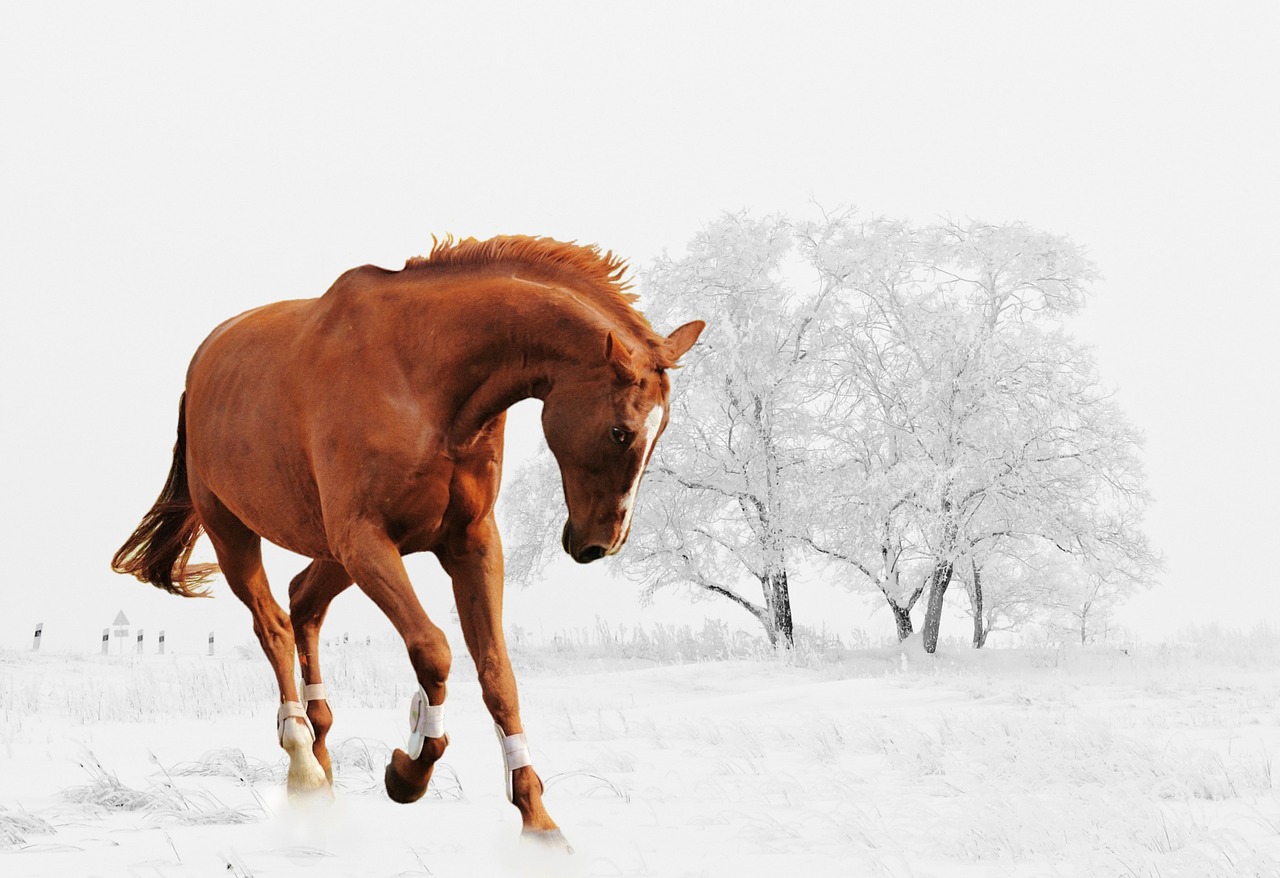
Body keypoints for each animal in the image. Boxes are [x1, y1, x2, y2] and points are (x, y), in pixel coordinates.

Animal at [111, 236, 706, 849]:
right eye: (621, 431)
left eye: (660, 430)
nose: (600, 544)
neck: (423, 378)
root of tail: (201, 367)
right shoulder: (366, 540)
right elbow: (434, 650)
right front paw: (408, 770)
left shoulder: (469, 544)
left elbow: (498, 673)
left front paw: (536, 819)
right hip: (236, 533)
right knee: (273, 624)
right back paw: (303, 765)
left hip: (331, 553)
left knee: (303, 602)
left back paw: (322, 757)